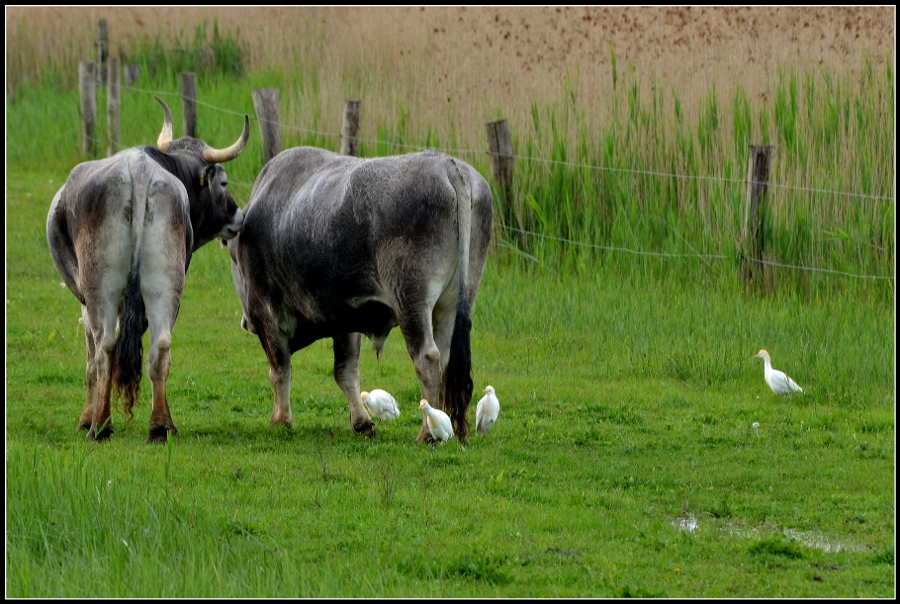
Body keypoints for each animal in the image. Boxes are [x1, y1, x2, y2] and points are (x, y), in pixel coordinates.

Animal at [46, 95, 250, 444]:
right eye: (223, 183)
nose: (239, 216)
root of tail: (138, 174)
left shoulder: (85, 300)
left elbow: (90, 361)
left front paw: (85, 419)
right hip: (165, 286)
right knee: (160, 347)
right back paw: (160, 426)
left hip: (101, 291)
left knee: (104, 348)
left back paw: (100, 425)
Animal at [225, 145, 492, 442]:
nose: (244, 322)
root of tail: (448, 166)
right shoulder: (345, 318)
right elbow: (346, 372)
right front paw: (361, 422)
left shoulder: (265, 315)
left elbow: (280, 370)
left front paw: (281, 420)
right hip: (452, 303)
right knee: (444, 358)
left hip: (411, 301)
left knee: (427, 359)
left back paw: (427, 431)